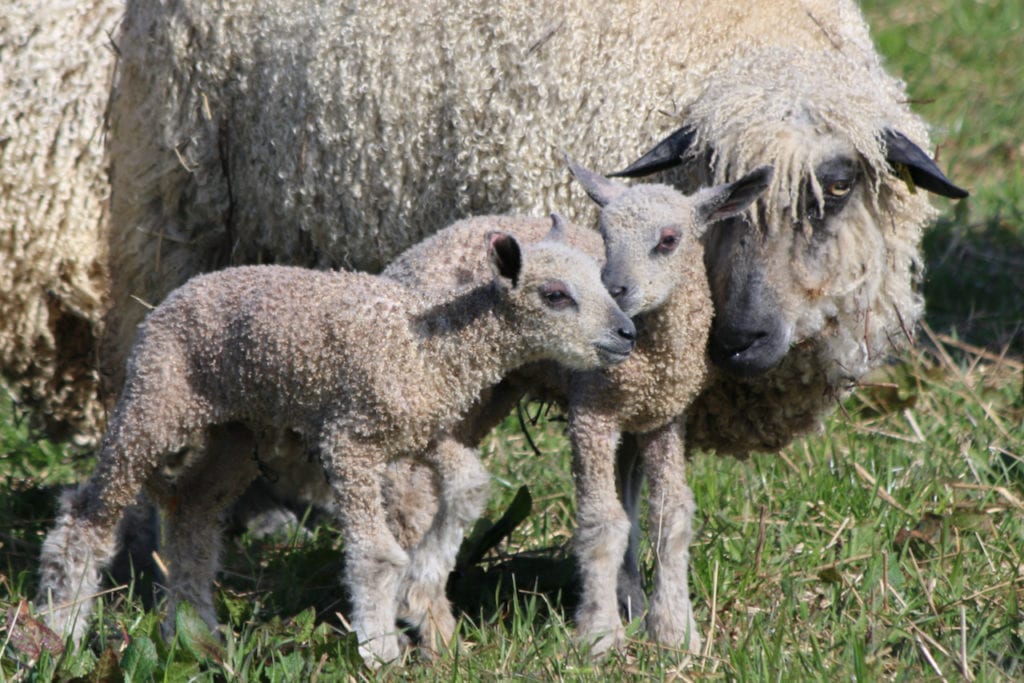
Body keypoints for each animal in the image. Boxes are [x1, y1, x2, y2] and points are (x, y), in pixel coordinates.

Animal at [36, 227, 634, 663]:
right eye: (555, 295)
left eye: (605, 283)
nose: (627, 333)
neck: (429, 352)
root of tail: (172, 296)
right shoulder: (351, 440)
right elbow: (374, 554)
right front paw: (380, 648)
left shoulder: (422, 432)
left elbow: (469, 486)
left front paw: (423, 577)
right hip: (156, 399)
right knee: (87, 516)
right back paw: (59, 632)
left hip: (237, 427)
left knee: (193, 516)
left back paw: (193, 633)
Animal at [380, 161, 770, 655]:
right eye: (604, 234)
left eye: (669, 239)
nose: (616, 290)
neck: (652, 357)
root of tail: (412, 255)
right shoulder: (591, 413)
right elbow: (603, 522)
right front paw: (600, 636)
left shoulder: (663, 417)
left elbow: (672, 516)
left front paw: (676, 632)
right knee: (408, 487)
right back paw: (432, 627)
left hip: (492, 389)